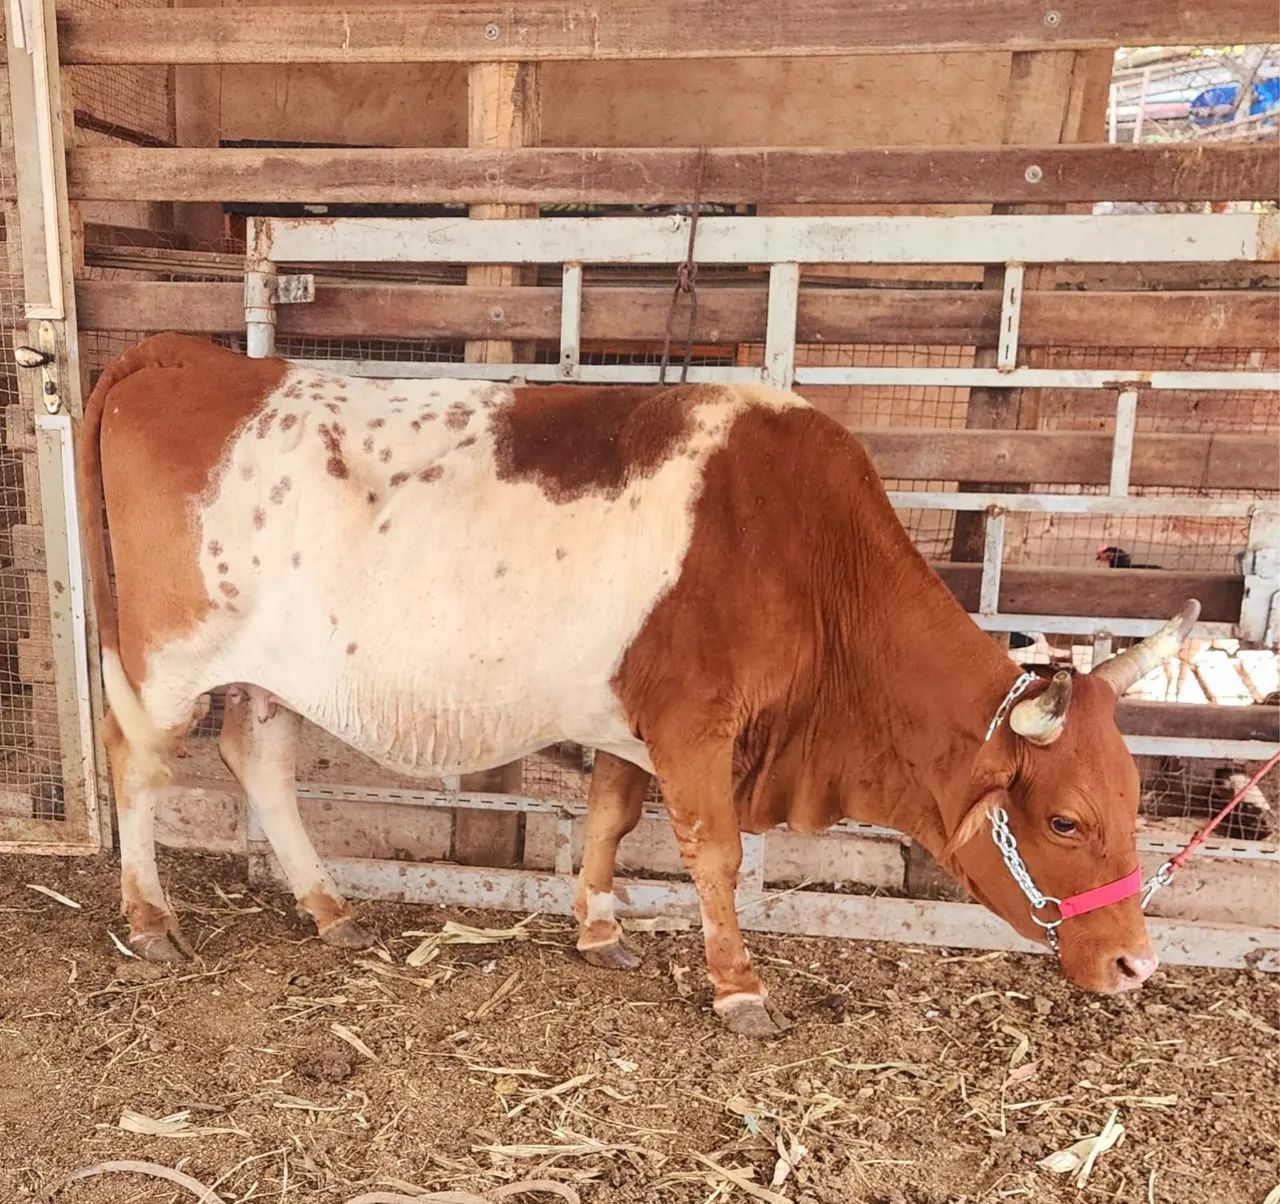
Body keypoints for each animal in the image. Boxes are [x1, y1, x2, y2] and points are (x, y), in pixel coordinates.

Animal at [79, 334, 1198, 1037]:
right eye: (1063, 820)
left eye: (1132, 798)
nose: (1137, 963)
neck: (807, 554)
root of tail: (184, 353)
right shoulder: (694, 726)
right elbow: (714, 852)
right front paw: (738, 986)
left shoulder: (633, 723)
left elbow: (612, 816)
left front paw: (599, 927)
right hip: (165, 661)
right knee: (137, 764)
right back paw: (151, 918)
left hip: (262, 674)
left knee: (258, 760)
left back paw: (327, 907)